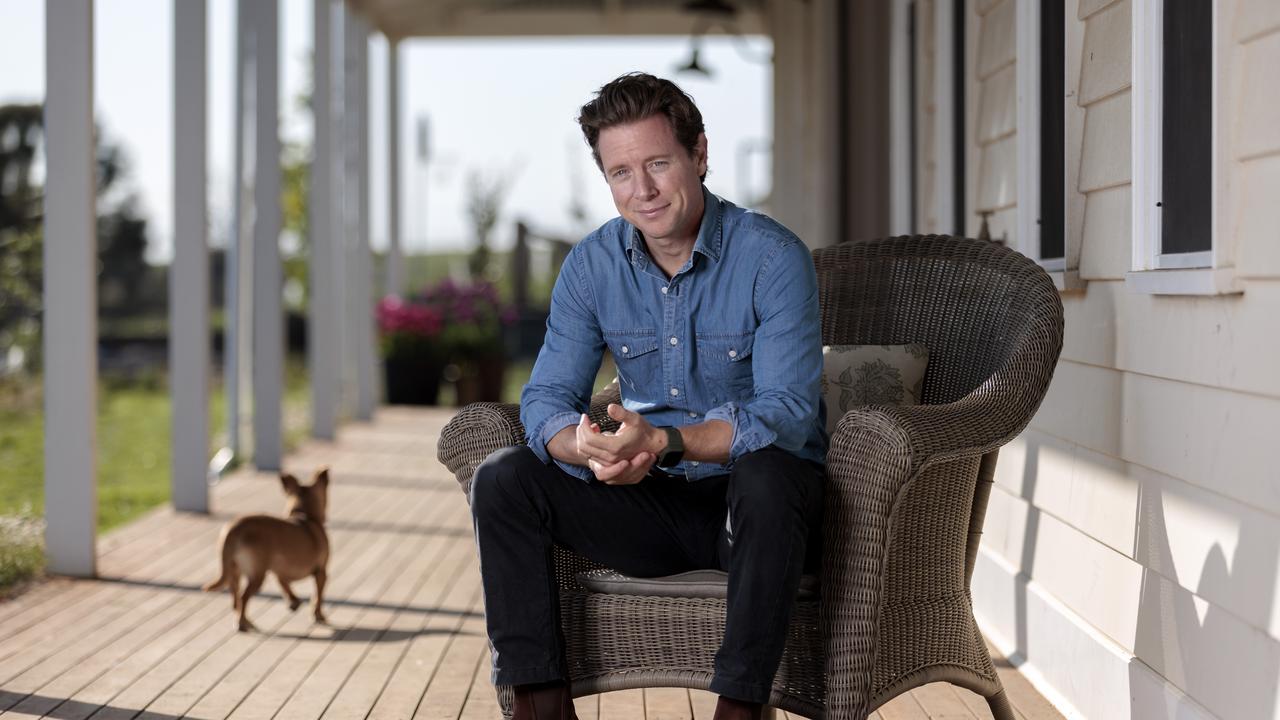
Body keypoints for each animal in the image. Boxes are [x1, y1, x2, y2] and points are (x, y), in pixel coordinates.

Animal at [203, 466, 330, 627]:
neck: (305, 516)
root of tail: (234, 530)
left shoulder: (279, 569)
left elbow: (284, 583)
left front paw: (293, 601)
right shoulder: (321, 572)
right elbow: (318, 597)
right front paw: (318, 614)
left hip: (234, 572)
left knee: (235, 599)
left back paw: (243, 619)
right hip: (257, 575)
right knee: (244, 597)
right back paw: (243, 623)